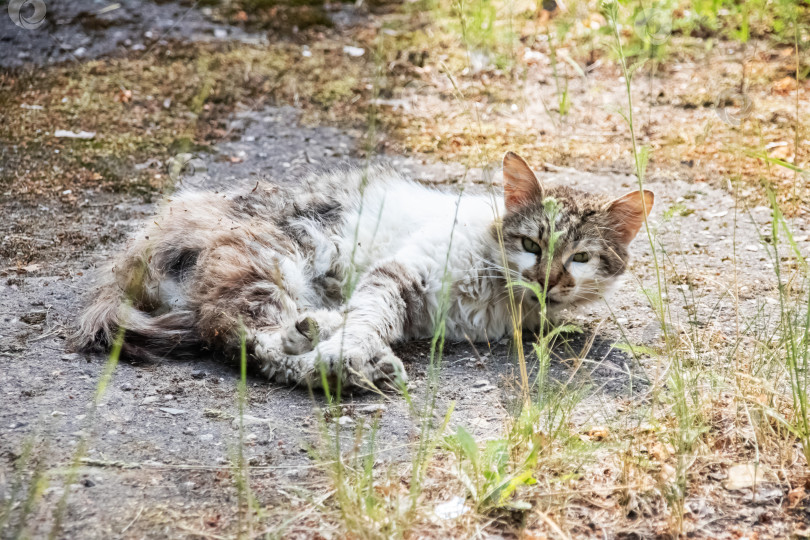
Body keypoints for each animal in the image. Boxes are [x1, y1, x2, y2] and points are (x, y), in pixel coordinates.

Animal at [76, 151, 652, 388]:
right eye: (532, 244)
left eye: (580, 258)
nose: (548, 279)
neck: (497, 295)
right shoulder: (403, 273)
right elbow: (368, 317)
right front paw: (348, 348)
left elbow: (363, 317)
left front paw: (339, 335)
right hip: (269, 259)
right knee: (242, 336)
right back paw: (340, 363)